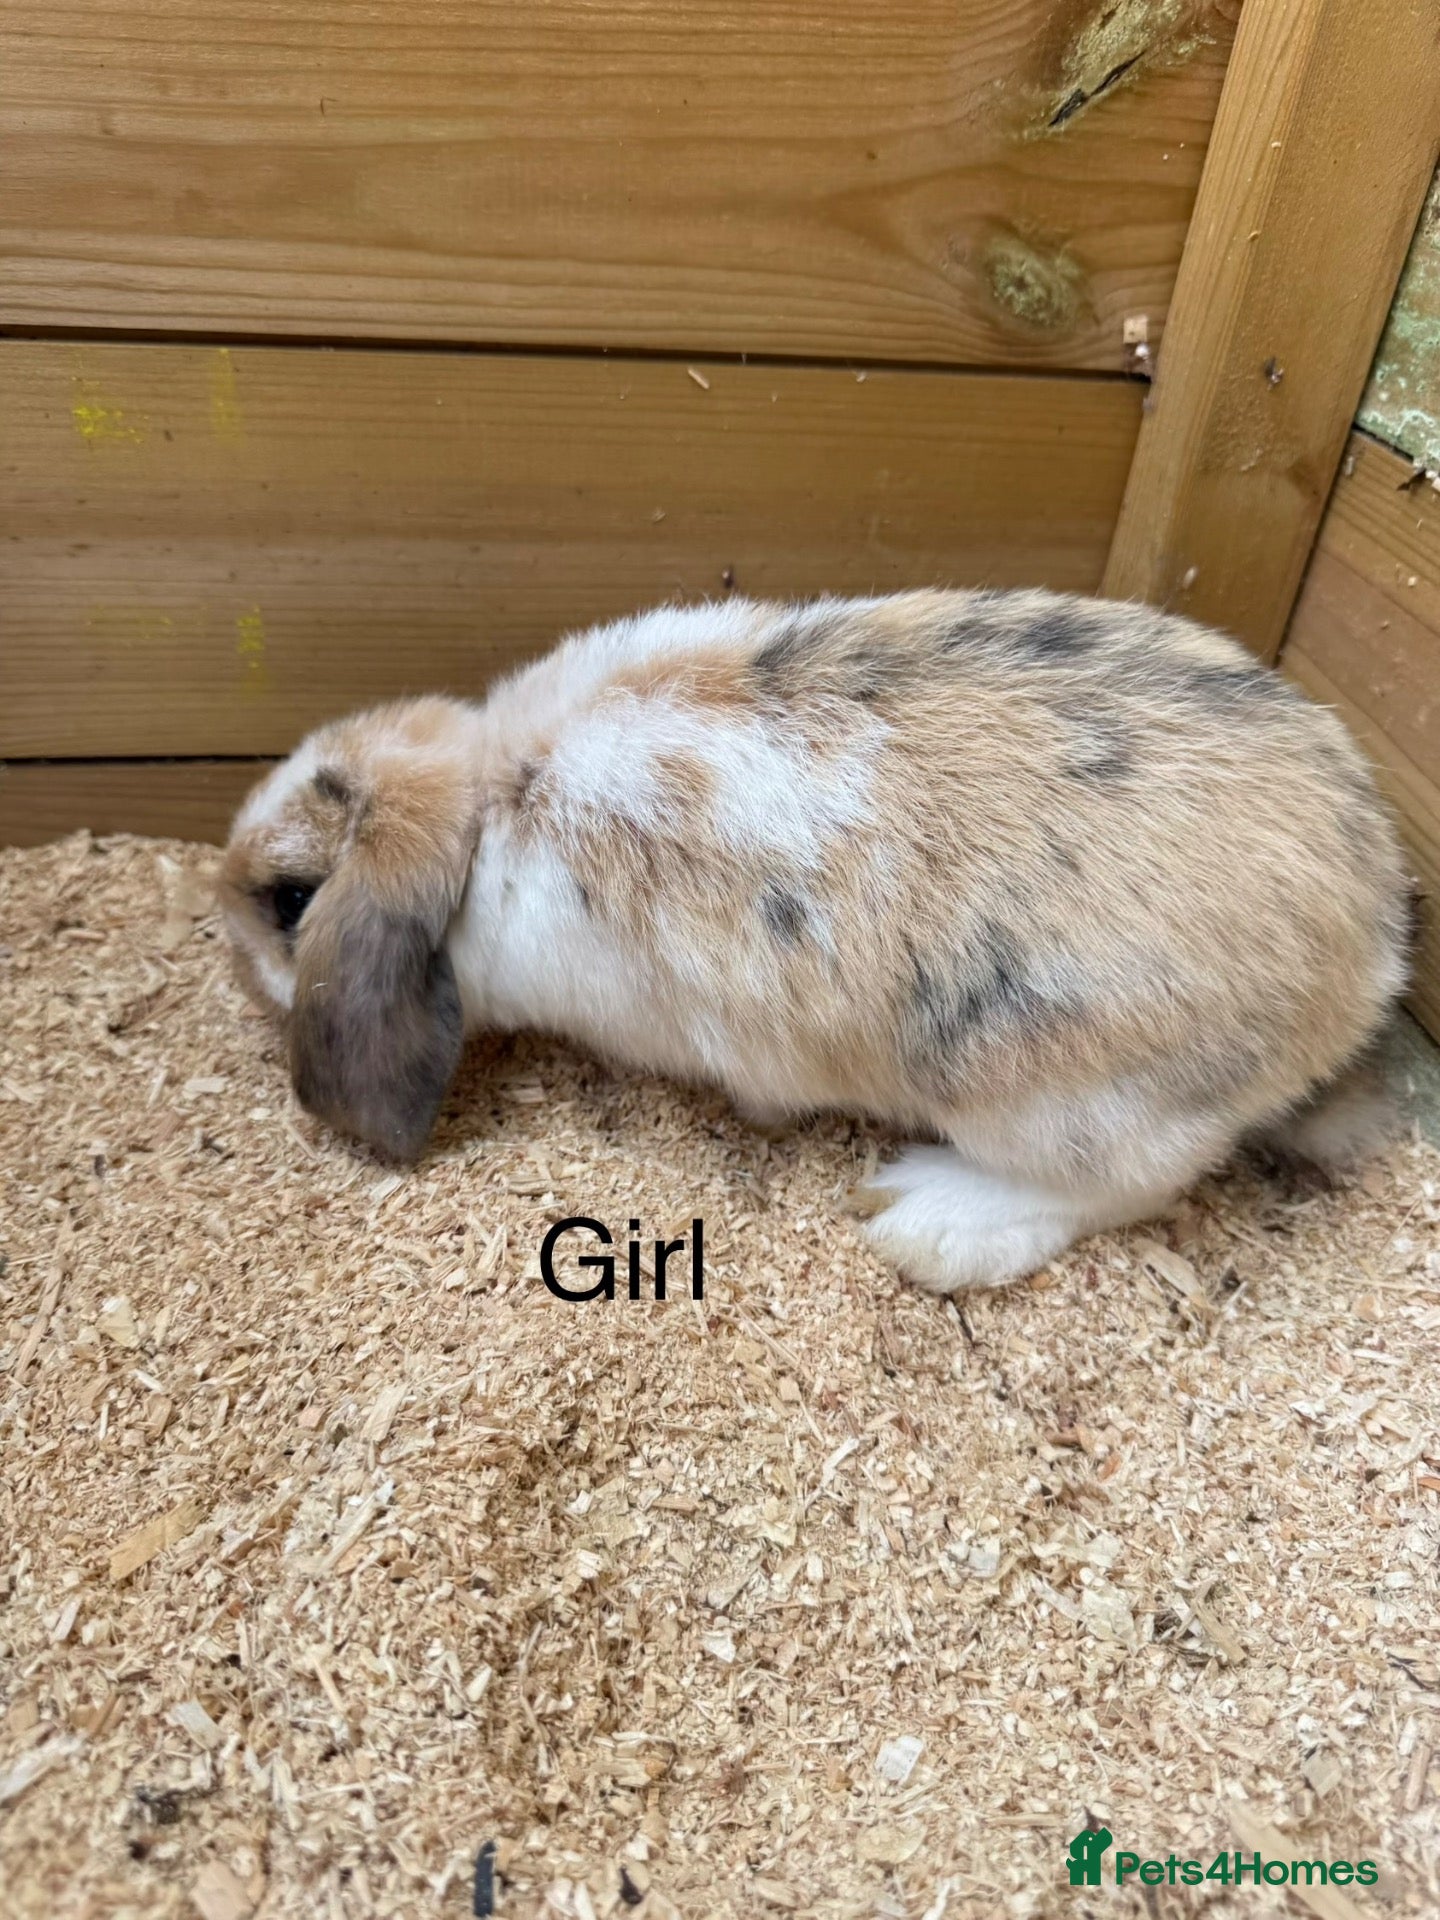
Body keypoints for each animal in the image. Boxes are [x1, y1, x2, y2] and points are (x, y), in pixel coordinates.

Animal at [219, 588, 1412, 1293]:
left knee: (1125, 1187)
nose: (222, 936)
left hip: (1071, 1104)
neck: (489, 807)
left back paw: (922, 1216)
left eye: (291, 900)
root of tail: (1373, 948)